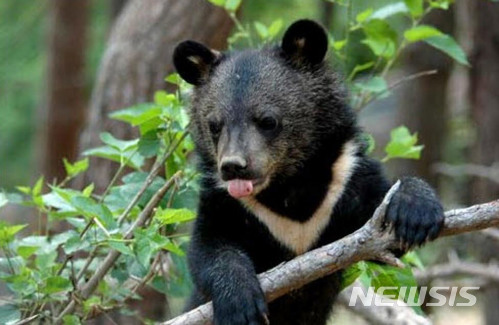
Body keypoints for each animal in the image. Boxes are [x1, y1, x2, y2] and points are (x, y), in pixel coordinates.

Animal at [173, 19, 446, 322]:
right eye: (214, 125)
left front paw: (415, 214)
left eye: (268, 121)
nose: (233, 167)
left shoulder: (346, 179)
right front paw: (240, 306)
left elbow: (384, 235)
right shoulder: (225, 201)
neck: (288, 186)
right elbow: (208, 248)